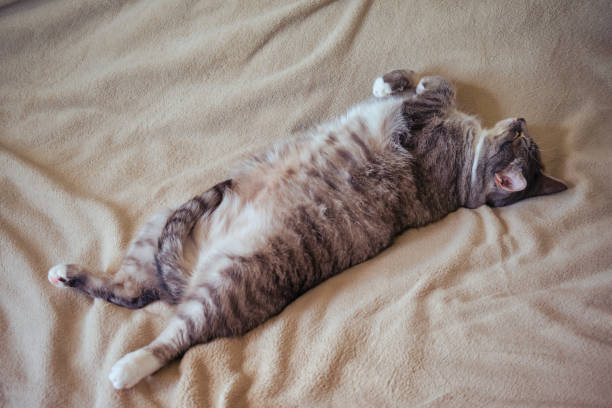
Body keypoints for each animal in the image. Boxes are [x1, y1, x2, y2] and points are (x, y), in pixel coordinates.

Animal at [45, 70, 568, 388]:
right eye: (524, 137)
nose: (521, 119)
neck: (469, 175)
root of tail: (186, 276)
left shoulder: (419, 126)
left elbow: (439, 89)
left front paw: (408, 85)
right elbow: (428, 85)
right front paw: (391, 81)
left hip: (228, 285)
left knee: (174, 335)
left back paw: (127, 368)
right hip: (157, 227)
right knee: (129, 290)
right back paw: (65, 274)